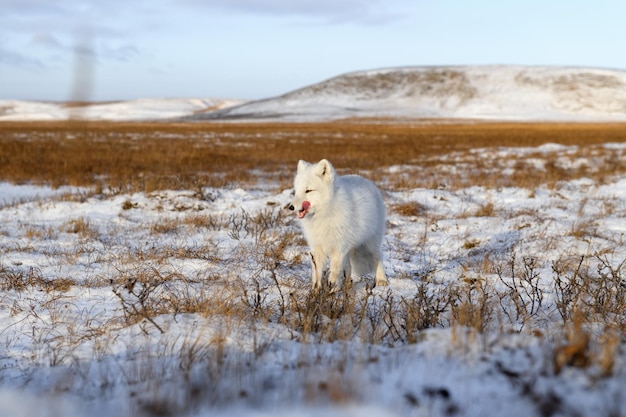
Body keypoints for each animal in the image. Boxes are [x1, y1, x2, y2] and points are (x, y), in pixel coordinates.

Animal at [288, 159, 388, 290]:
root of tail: (365, 179)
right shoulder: (317, 248)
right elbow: (317, 273)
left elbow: (334, 273)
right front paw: (316, 291)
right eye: (296, 191)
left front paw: (332, 290)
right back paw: (347, 284)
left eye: (308, 190)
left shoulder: (339, 247)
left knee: (378, 256)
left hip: (371, 243)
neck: (323, 214)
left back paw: (382, 280)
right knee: (349, 267)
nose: (290, 207)